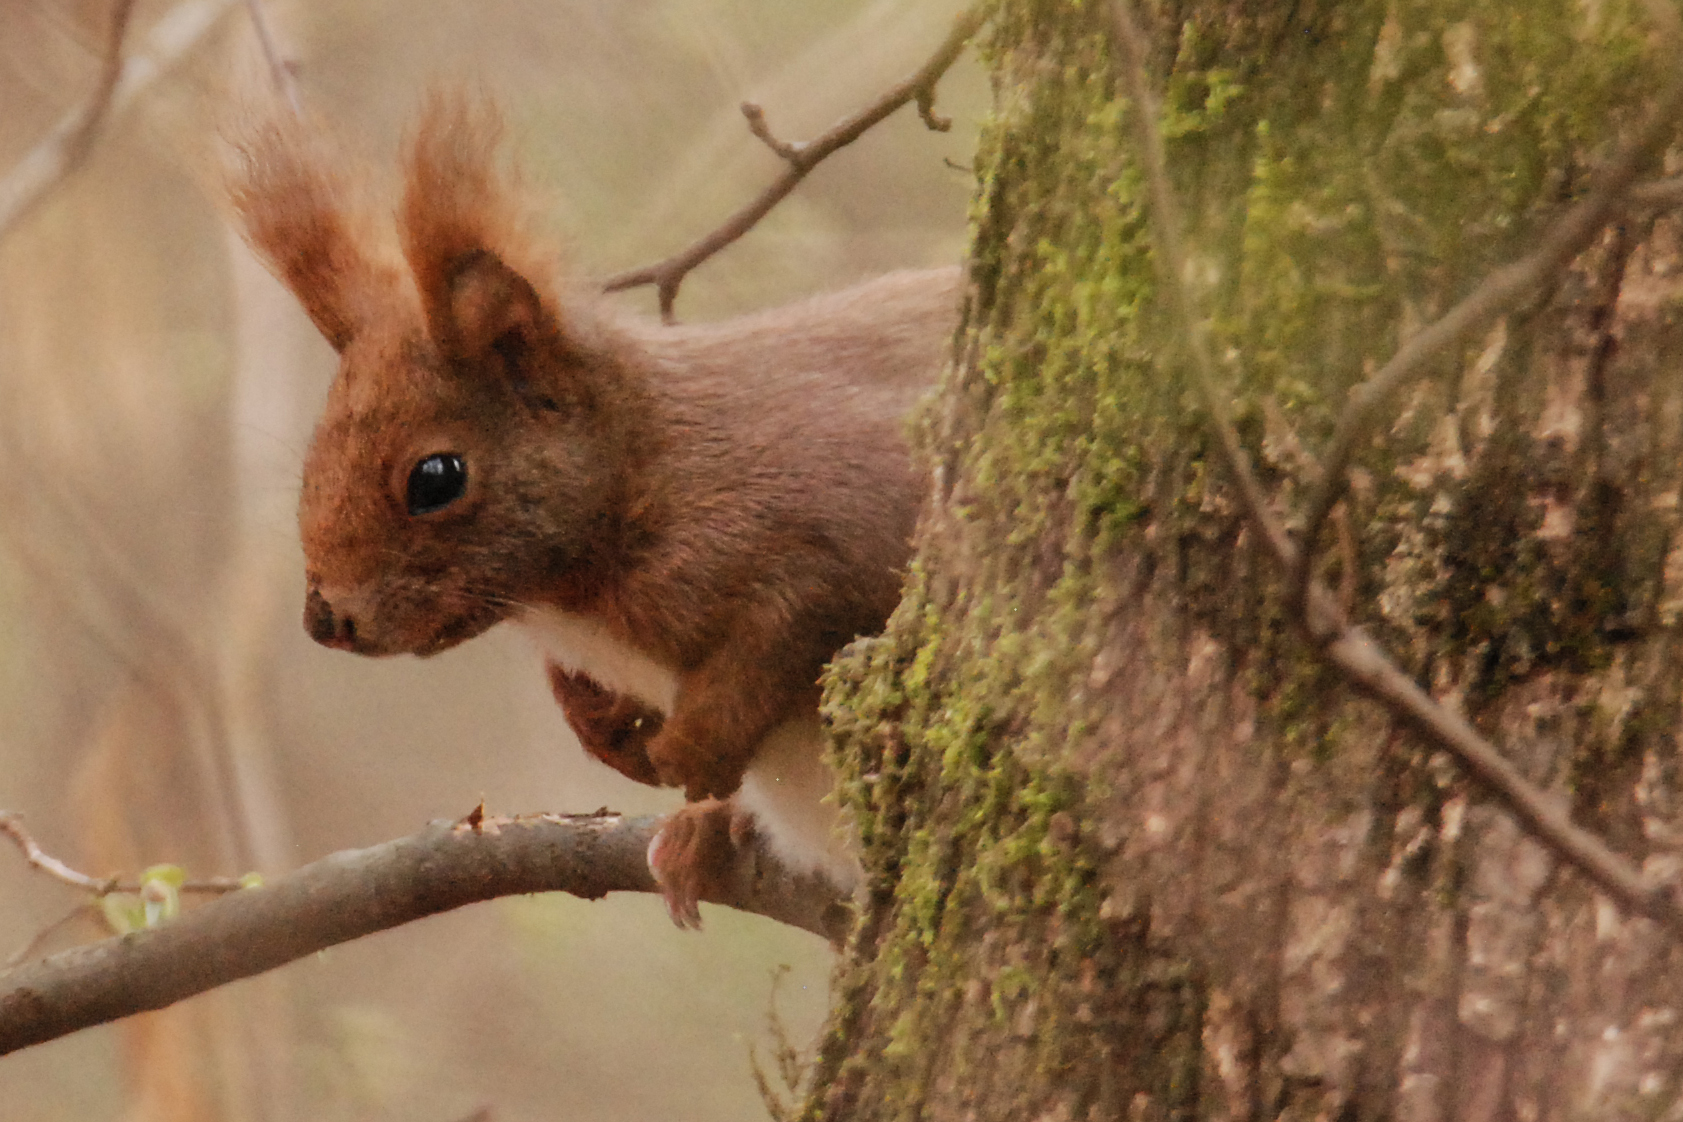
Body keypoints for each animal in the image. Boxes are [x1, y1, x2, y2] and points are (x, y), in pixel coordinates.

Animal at [224, 95, 958, 926]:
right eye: (310, 462)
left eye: (436, 478)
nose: (325, 620)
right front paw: (595, 721)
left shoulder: (844, 493)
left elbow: (805, 606)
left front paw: (691, 746)